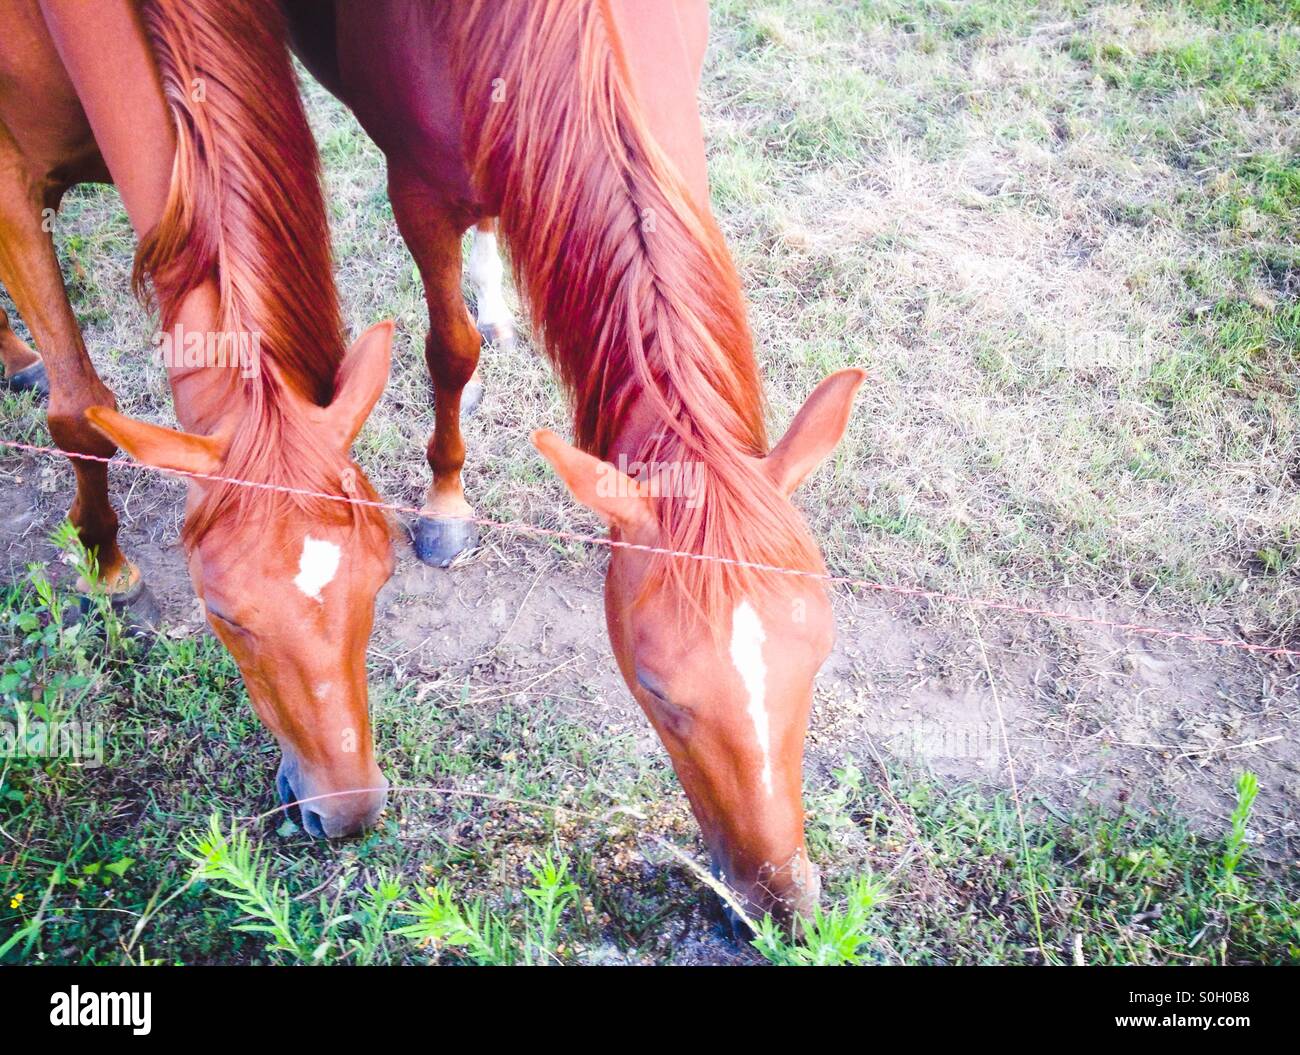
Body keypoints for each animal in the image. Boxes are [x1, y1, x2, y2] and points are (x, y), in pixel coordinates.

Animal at [0, 0, 396, 837]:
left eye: (381, 579)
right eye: (224, 615)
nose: (345, 812)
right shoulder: (9, 186)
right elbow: (79, 412)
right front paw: (106, 568)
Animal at [285, 0, 866, 926]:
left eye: (818, 656)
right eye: (658, 690)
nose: (784, 904)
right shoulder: (415, 195)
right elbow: (447, 351)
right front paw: (446, 504)